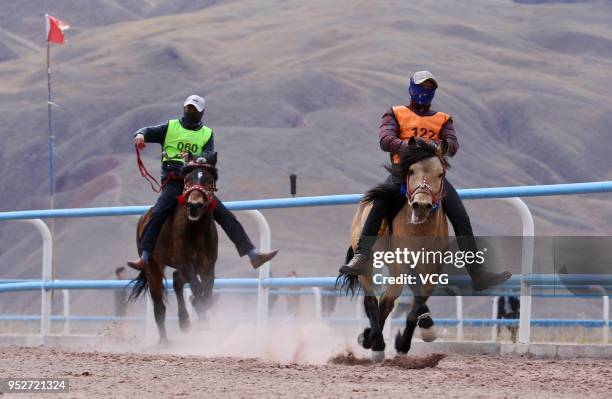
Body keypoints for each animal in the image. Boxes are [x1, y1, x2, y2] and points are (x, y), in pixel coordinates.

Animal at [128, 152, 219, 344]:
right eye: (188, 179)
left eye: (209, 180)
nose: (194, 205)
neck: (196, 231)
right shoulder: (185, 263)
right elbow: (198, 290)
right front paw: (199, 313)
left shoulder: (208, 265)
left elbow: (206, 293)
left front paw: (203, 320)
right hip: (153, 268)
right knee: (159, 306)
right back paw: (164, 341)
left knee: (177, 280)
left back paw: (185, 321)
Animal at [338, 138, 448, 362]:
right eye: (411, 171)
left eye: (440, 173)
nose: (421, 205)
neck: (421, 229)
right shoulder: (401, 263)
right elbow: (401, 299)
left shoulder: (431, 269)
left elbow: (416, 303)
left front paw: (404, 343)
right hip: (368, 264)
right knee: (372, 301)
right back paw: (376, 344)